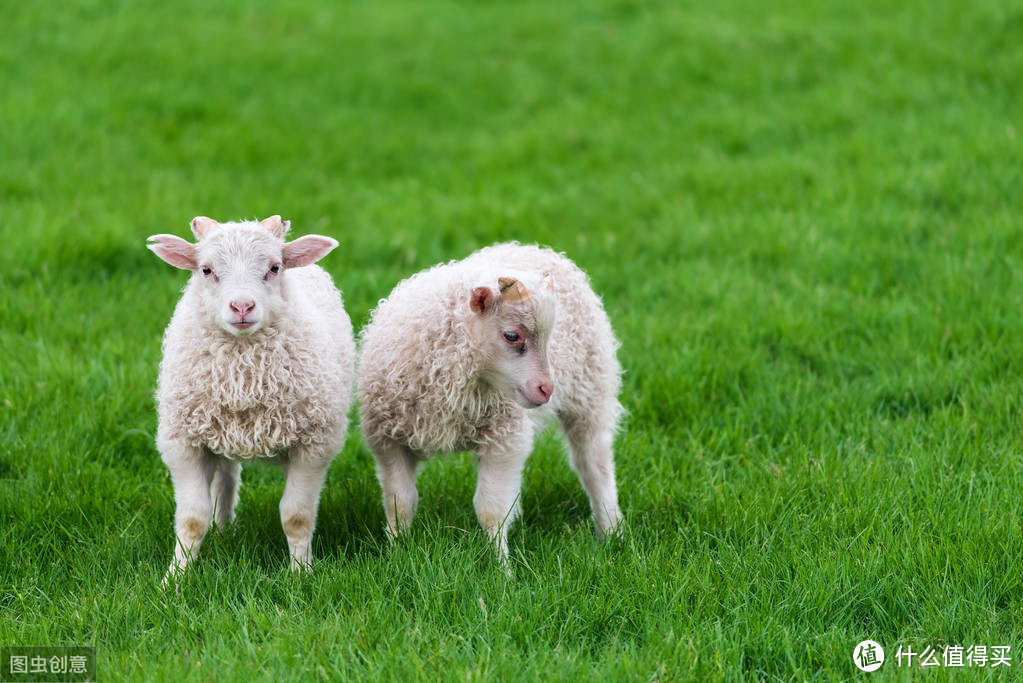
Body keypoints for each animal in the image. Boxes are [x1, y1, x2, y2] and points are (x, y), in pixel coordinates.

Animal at [148, 215, 356, 580]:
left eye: (274, 267)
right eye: (206, 270)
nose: (242, 306)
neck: (244, 379)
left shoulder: (313, 445)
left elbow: (296, 516)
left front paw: (301, 573)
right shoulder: (182, 443)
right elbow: (192, 518)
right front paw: (175, 578)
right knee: (227, 478)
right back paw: (224, 529)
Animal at [356, 240, 626, 560]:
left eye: (549, 338)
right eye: (511, 335)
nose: (546, 390)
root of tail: (533, 247)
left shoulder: (503, 440)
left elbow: (490, 510)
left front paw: (501, 565)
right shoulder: (389, 441)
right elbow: (400, 503)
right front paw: (395, 551)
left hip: (591, 393)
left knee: (594, 465)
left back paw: (611, 531)